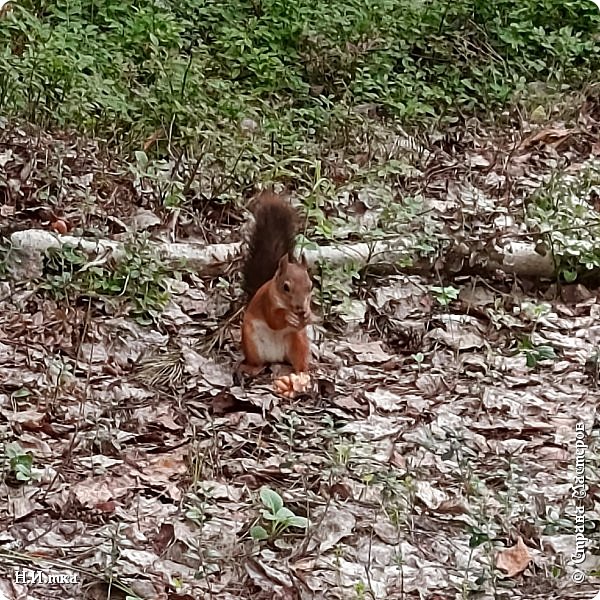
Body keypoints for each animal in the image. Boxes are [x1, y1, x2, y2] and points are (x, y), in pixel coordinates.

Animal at [240, 190, 314, 390]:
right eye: (286, 287)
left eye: (311, 286)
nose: (300, 308)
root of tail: (276, 357)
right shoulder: (266, 301)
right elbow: (273, 320)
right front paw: (287, 317)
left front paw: (307, 315)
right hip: (252, 343)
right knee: (258, 362)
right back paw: (251, 369)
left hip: (298, 343)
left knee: (299, 362)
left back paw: (303, 374)